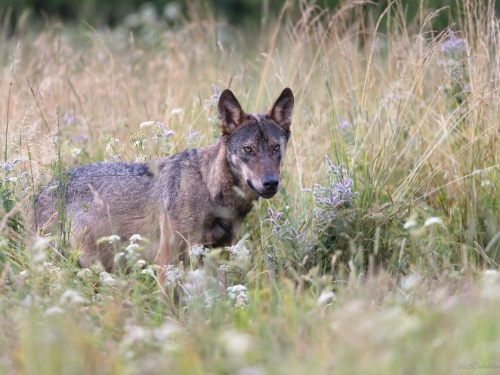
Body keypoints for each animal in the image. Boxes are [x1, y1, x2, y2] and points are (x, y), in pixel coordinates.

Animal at [36, 87, 292, 276]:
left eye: (275, 148)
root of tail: (40, 191)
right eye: (248, 149)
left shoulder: (220, 254)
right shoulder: (167, 259)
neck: (210, 189)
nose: (270, 183)